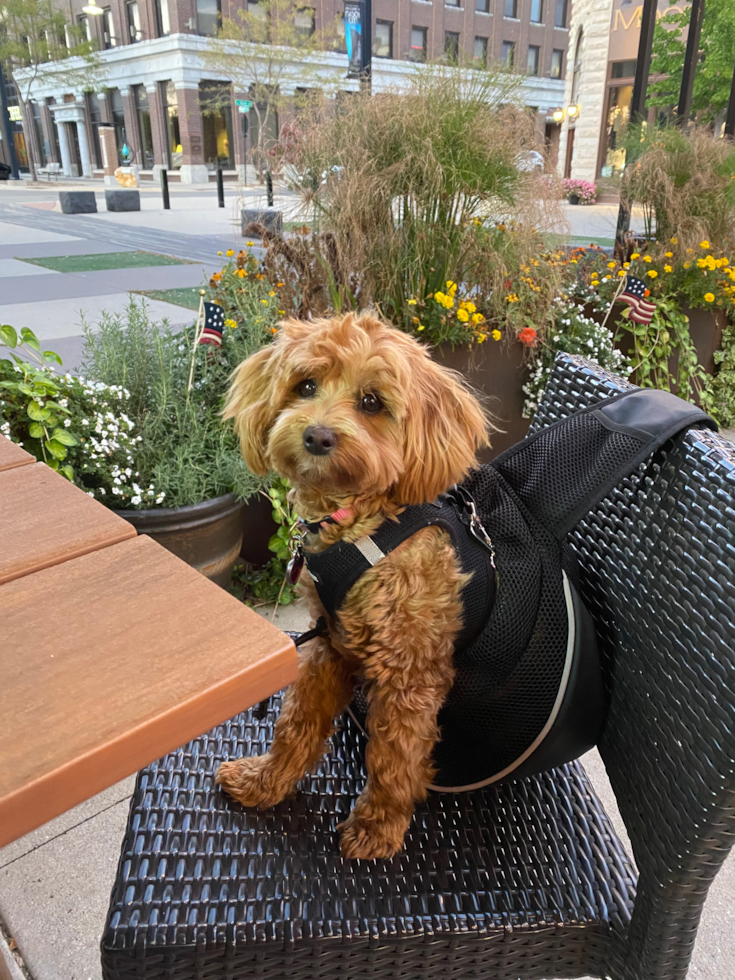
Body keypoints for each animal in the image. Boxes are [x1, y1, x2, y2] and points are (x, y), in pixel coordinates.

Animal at [216, 312, 492, 856]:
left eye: (371, 402)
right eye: (305, 385)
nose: (318, 437)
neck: (359, 525)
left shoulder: (410, 674)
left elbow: (394, 758)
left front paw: (377, 827)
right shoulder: (330, 645)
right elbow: (296, 723)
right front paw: (265, 782)